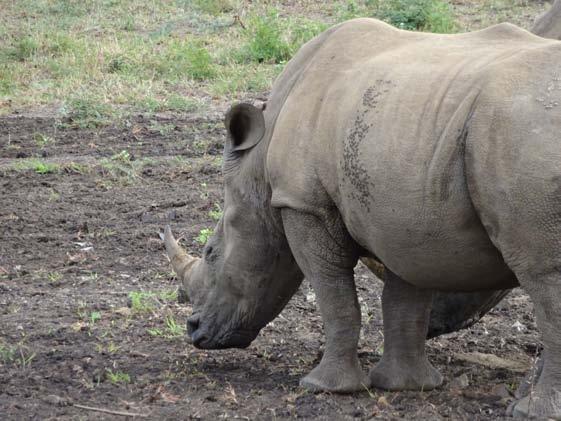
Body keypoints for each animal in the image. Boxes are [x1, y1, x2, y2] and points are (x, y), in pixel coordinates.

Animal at [164, 18, 560, 416]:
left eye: (212, 253)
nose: (193, 329)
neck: (258, 164)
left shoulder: (303, 203)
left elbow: (334, 294)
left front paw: (325, 388)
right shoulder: (404, 217)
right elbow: (404, 300)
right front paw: (406, 386)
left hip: (519, 137)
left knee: (543, 278)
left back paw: (531, 410)